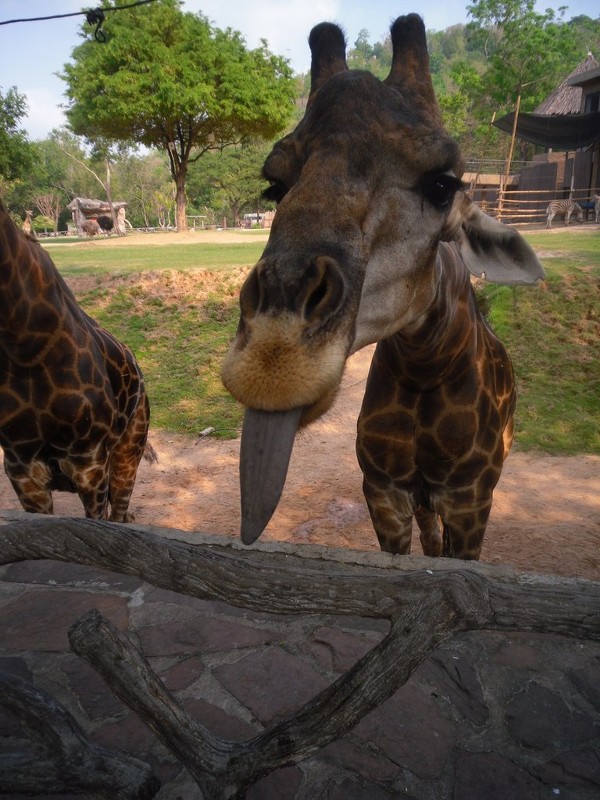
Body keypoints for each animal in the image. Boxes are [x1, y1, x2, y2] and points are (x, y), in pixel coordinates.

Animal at [223, 15, 548, 560]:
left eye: (442, 185)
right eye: (275, 187)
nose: (273, 359)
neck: (426, 363)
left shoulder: (470, 499)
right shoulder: (383, 491)